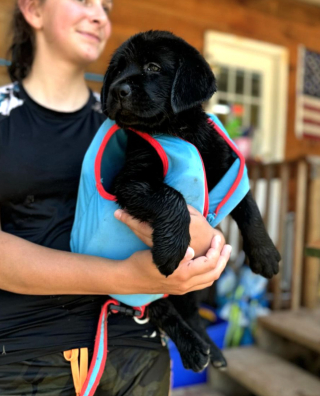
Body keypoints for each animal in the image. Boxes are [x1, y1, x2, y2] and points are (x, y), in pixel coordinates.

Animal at [100, 30, 280, 372]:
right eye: (117, 70)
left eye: (153, 67)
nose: (118, 90)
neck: (178, 130)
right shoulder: (130, 180)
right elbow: (172, 198)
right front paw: (171, 248)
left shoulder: (228, 166)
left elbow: (249, 207)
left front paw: (264, 254)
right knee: (161, 309)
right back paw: (194, 349)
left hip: (193, 286)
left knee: (191, 313)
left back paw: (212, 350)